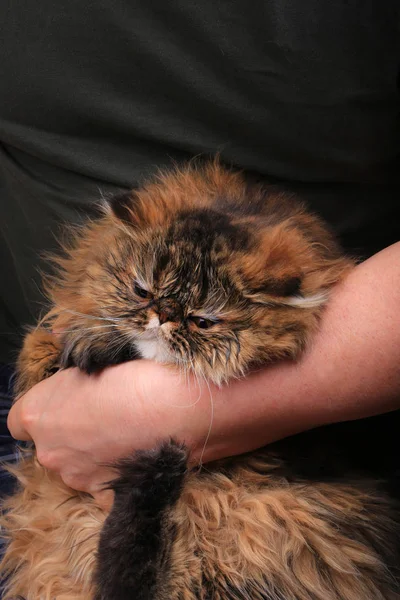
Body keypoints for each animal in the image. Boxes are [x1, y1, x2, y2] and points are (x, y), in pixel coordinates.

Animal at [0, 161, 400, 600]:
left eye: (202, 321)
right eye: (142, 291)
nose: (163, 316)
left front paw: (93, 344)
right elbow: (36, 348)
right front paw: (68, 348)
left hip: (269, 523)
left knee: (138, 572)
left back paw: (160, 466)